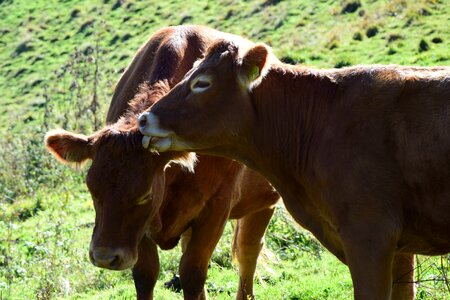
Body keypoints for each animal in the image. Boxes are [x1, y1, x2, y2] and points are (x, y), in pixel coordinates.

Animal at [45, 26, 280, 300]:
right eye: (92, 189)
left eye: (145, 194)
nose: (104, 257)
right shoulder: (142, 230)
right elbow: (146, 274)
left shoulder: (215, 208)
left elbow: (192, 272)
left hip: (264, 202)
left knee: (247, 250)